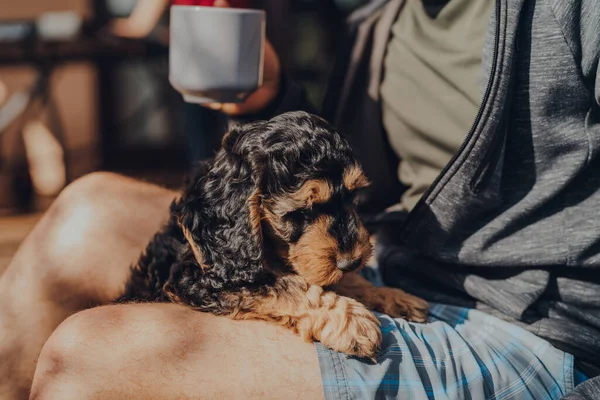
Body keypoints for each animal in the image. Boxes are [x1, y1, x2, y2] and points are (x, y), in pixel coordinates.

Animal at [117, 111, 426, 358]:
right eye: (301, 211)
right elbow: (287, 286)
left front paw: (391, 295)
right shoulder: (199, 278)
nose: (352, 261)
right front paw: (350, 320)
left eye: (352, 197)